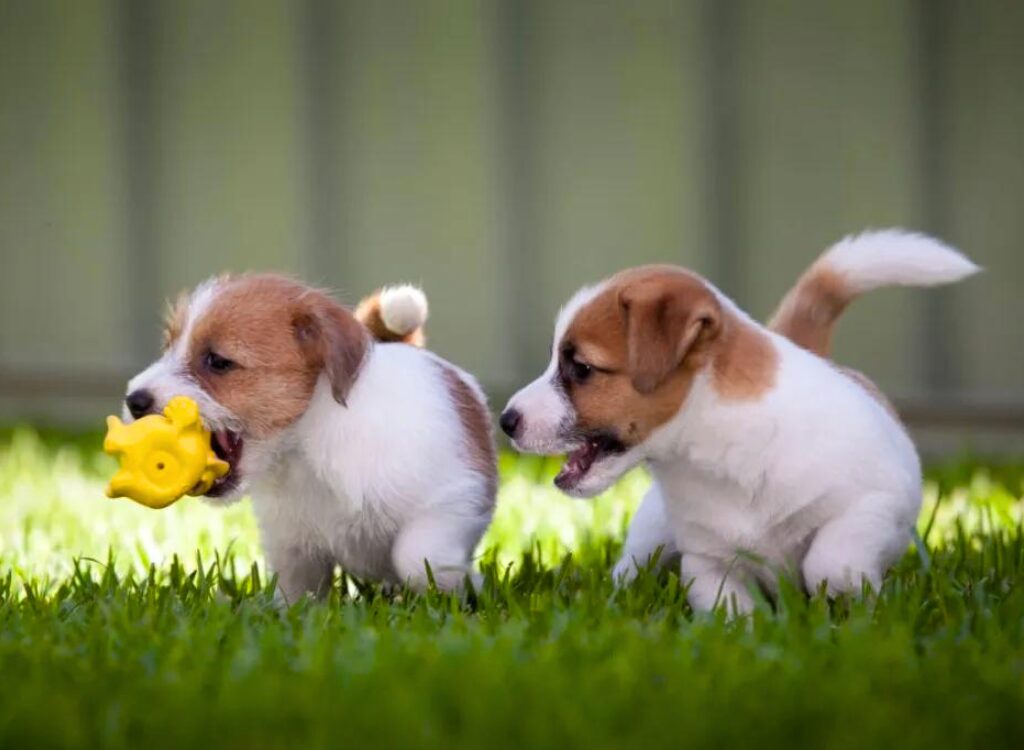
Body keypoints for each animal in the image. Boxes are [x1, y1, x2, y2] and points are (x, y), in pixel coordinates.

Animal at [121, 276, 497, 602]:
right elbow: (296, 592)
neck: (306, 447)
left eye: (217, 361)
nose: (134, 401)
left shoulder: (454, 502)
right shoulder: (291, 546)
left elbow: (417, 558)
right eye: (168, 348)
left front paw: (467, 584)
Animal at [499, 231, 978, 610]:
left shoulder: (876, 503)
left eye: (581, 368)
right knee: (631, 567)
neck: (719, 451)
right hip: (653, 531)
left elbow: (829, 561)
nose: (505, 420)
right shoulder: (709, 563)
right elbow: (732, 615)